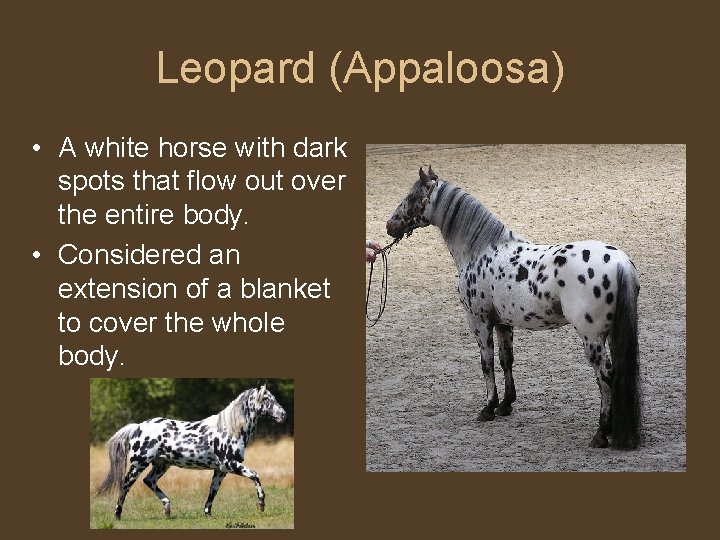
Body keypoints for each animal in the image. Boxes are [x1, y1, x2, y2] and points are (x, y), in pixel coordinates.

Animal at [96, 382, 287, 519]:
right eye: (265, 399)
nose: (283, 415)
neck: (230, 429)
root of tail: (137, 427)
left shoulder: (221, 470)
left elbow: (213, 491)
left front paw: (207, 514)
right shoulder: (230, 464)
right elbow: (255, 475)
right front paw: (261, 504)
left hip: (161, 465)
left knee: (149, 481)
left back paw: (167, 509)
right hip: (139, 464)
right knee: (125, 485)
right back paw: (117, 515)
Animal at [385, 166, 641, 449]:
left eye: (411, 196)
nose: (389, 225)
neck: (481, 250)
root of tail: (620, 263)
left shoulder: (479, 321)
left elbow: (486, 362)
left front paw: (488, 408)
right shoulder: (502, 323)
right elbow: (506, 360)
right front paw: (505, 405)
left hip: (592, 339)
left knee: (606, 378)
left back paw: (601, 433)